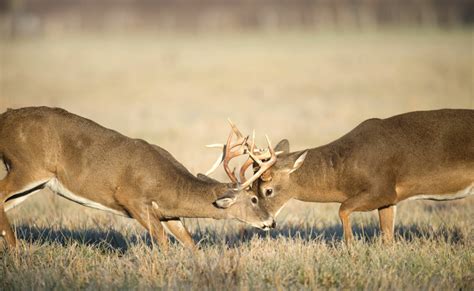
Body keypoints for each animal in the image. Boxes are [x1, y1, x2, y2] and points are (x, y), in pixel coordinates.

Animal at [0, 106, 274, 249]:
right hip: (27, 166)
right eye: (253, 199)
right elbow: (163, 242)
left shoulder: (169, 213)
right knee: (1, 193)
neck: (169, 184)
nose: (270, 222)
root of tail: (5, 118)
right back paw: (16, 250)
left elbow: (189, 242)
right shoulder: (132, 199)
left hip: (37, 183)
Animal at [209, 110, 474, 243]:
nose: (268, 223)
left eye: (268, 190)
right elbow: (387, 237)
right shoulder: (390, 199)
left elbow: (342, 209)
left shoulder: (381, 188)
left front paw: (350, 247)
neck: (344, 170)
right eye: (252, 191)